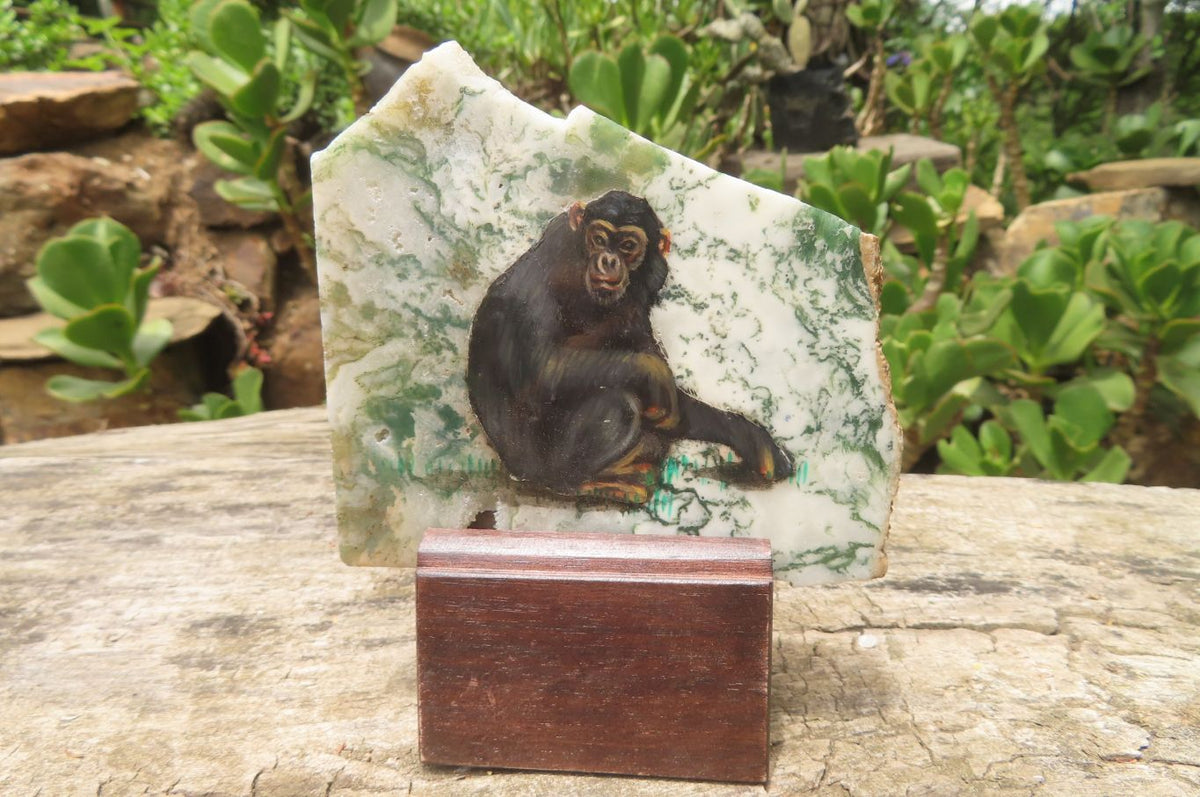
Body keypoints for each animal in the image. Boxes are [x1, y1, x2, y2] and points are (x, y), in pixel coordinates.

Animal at [466, 190, 792, 505]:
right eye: (599, 239)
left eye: (627, 245)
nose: (608, 260)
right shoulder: (547, 268)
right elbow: (540, 371)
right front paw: (654, 374)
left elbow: (674, 403)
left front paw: (752, 440)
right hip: (537, 463)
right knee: (618, 405)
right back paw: (585, 483)